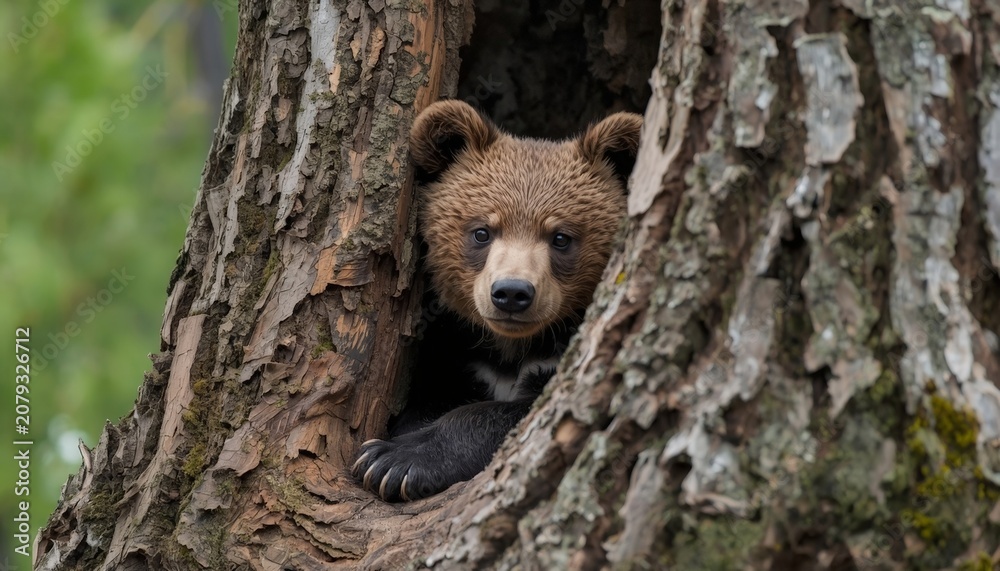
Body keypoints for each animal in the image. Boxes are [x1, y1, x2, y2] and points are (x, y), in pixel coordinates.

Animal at [351, 100, 643, 502]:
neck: (511, 349)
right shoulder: (459, 352)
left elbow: (513, 416)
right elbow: (430, 397)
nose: (512, 293)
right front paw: (388, 448)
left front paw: (389, 460)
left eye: (561, 237)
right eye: (481, 232)